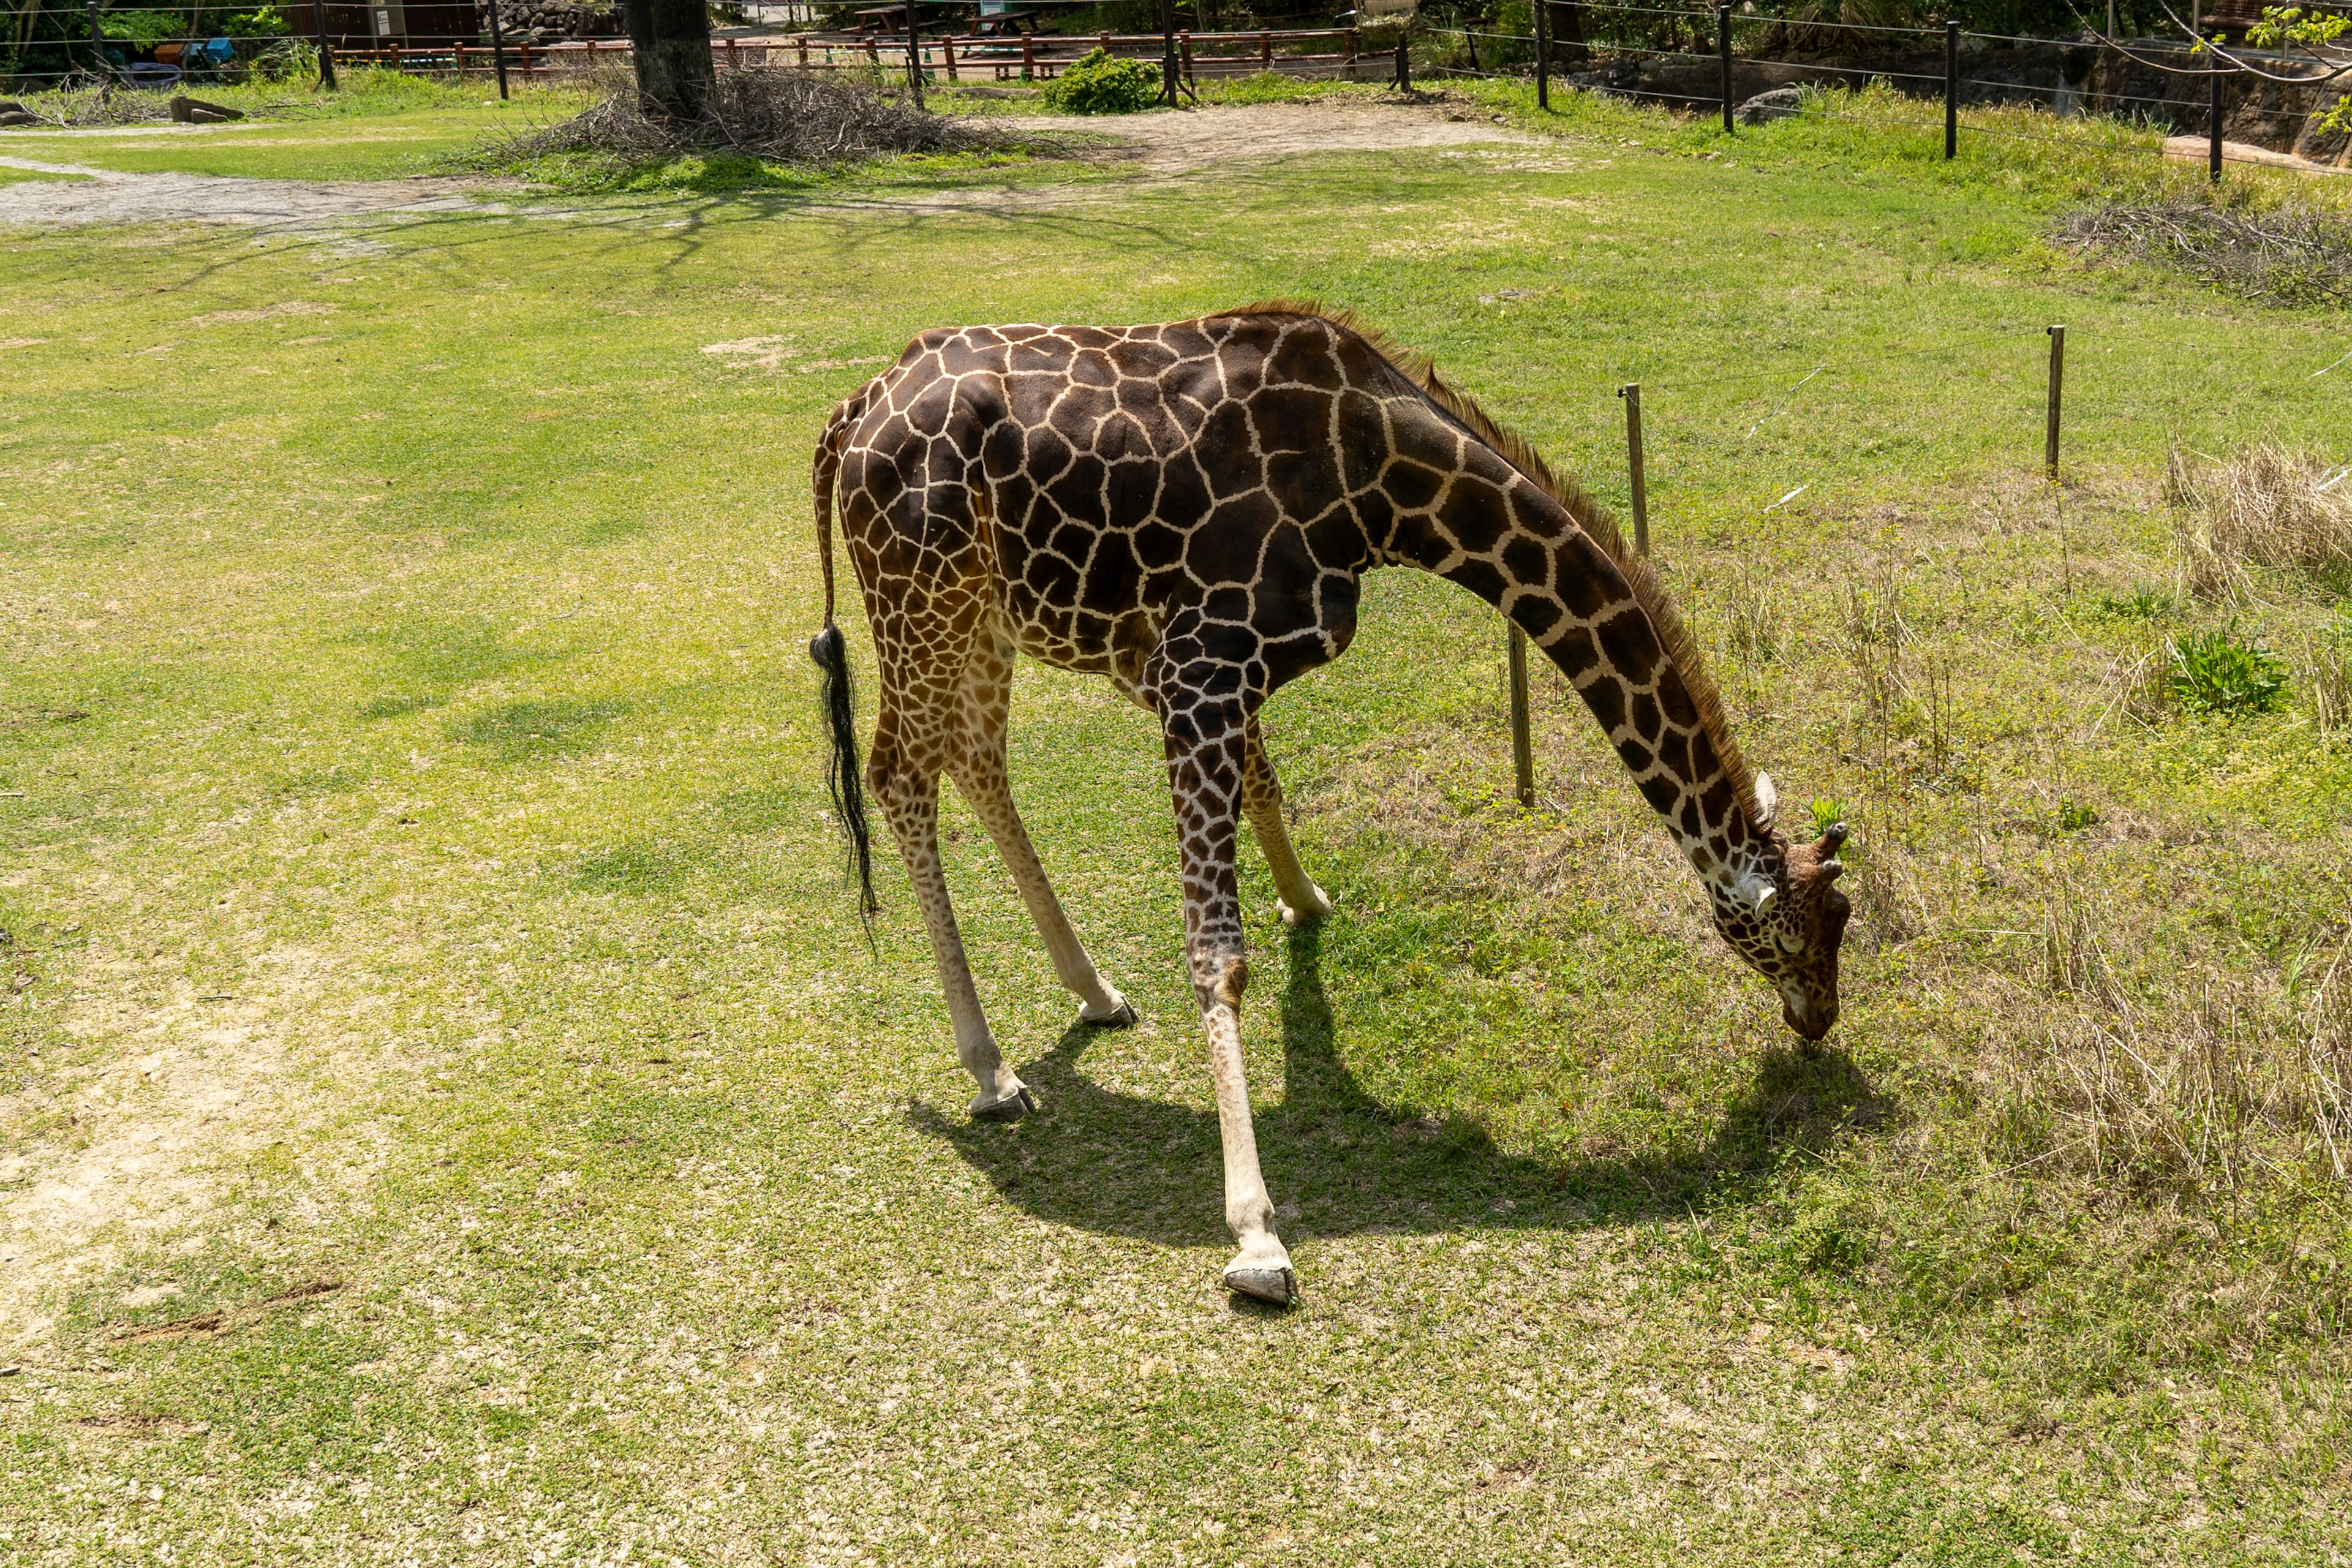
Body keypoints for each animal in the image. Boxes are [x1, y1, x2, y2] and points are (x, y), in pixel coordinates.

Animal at [809, 301, 1853, 1306]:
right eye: (1796, 935)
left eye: (1840, 922)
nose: (1820, 1020)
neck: (1377, 485)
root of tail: (851, 416)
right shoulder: (1200, 666)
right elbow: (1218, 954)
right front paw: (1255, 1236)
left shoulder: (1196, 668)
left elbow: (1266, 790)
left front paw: (1305, 900)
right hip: (920, 599)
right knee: (900, 771)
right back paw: (991, 1069)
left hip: (981, 610)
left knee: (976, 760)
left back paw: (1093, 991)